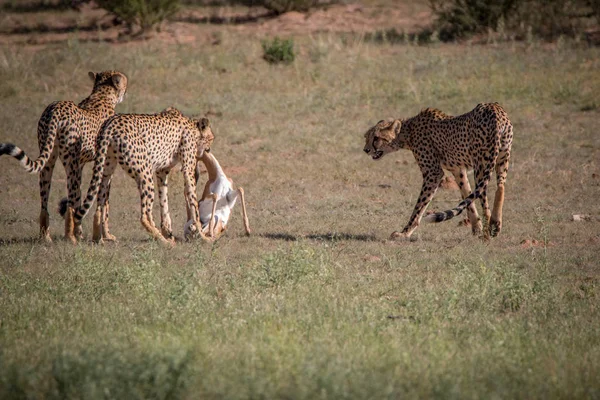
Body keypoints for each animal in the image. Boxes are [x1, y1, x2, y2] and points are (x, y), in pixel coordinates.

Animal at [0, 70, 126, 242]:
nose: (125, 92)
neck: (101, 95)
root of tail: (56, 107)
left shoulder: (82, 164)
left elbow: (81, 197)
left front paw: (82, 231)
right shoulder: (103, 164)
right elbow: (103, 202)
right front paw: (106, 235)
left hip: (49, 159)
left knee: (45, 201)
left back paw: (46, 237)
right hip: (70, 163)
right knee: (71, 202)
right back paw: (70, 238)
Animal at [70, 108, 216, 245]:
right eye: (211, 139)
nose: (209, 149)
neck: (192, 127)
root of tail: (111, 123)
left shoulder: (162, 171)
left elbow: (164, 202)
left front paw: (167, 231)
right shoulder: (187, 168)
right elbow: (193, 203)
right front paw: (202, 235)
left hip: (106, 169)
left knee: (100, 204)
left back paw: (99, 238)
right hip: (145, 173)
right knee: (144, 216)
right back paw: (163, 241)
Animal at [364, 103, 512, 241]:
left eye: (376, 138)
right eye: (366, 136)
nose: (366, 150)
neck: (408, 131)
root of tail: (495, 109)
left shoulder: (433, 173)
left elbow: (420, 206)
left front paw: (404, 232)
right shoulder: (458, 170)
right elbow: (467, 196)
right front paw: (476, 227)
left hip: (482, 164)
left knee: (485, 197)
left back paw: (489, 231)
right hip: (502, 158)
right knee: (500, 187)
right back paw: (495, 225)